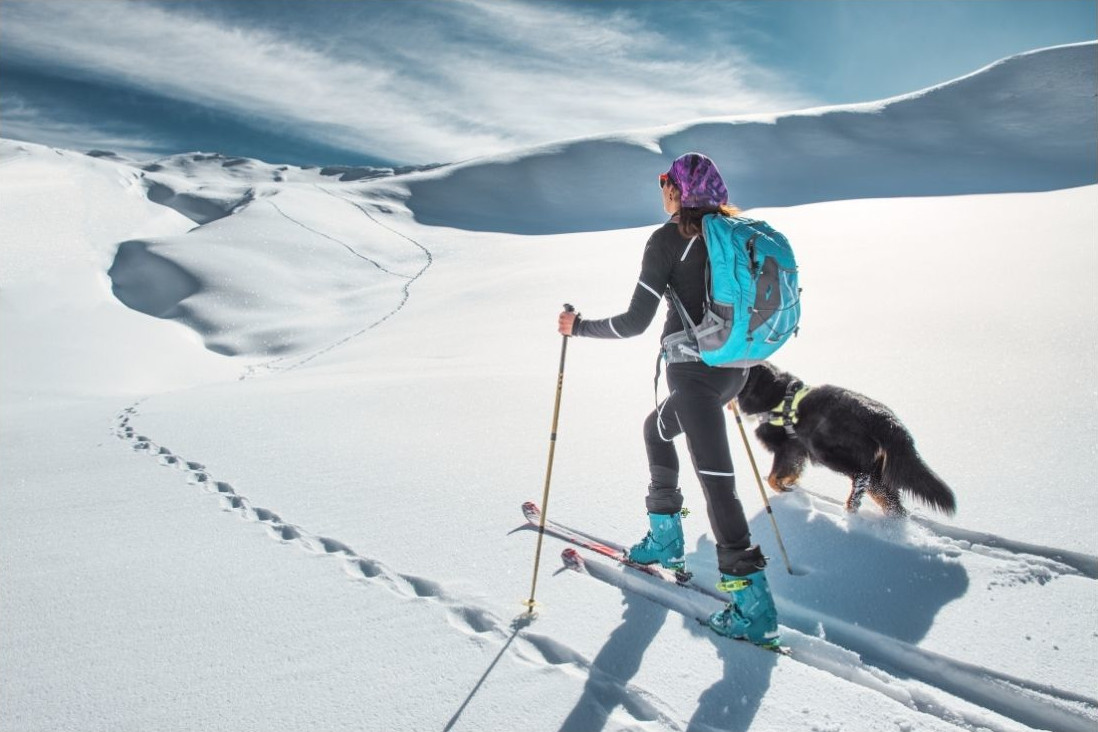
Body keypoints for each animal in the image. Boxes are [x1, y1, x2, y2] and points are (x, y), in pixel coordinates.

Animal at [733, 364, 957, 517]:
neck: (774, 395)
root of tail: (887, 420)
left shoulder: (787, 447)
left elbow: (773, 477)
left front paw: (785, 489)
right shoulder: (797, 451)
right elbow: (790, 473)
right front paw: (791, 486)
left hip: (828, 450)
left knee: (861, 477)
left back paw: (850, 508)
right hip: (875, 469)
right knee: (889, 500)